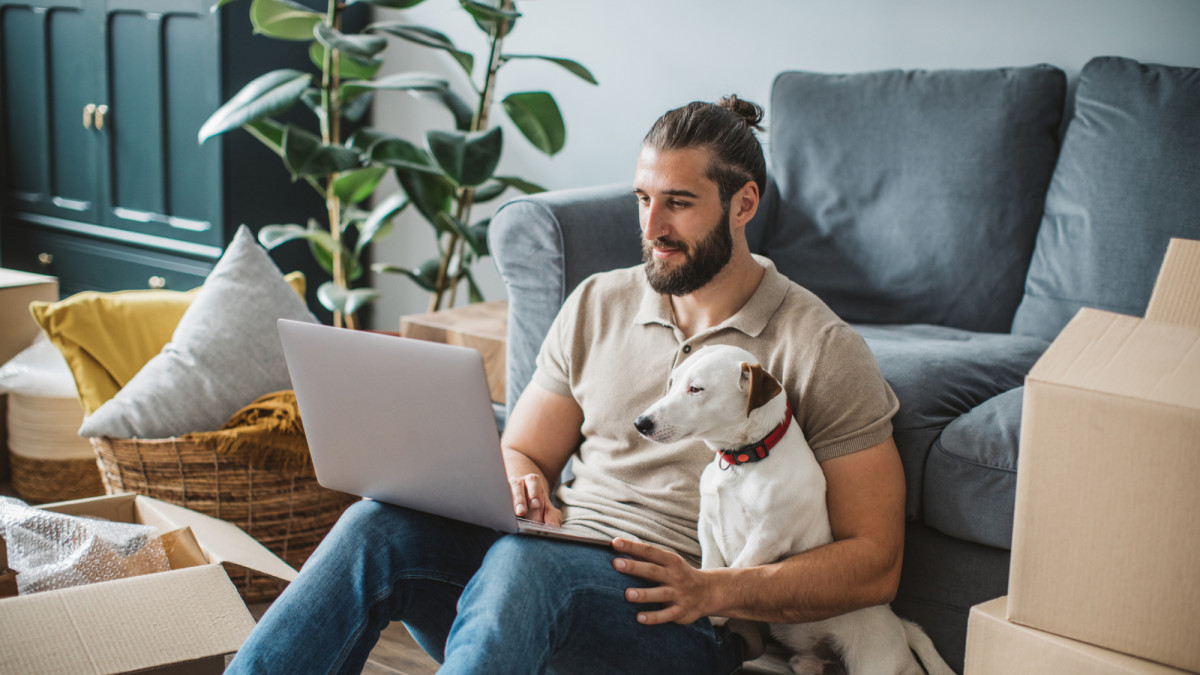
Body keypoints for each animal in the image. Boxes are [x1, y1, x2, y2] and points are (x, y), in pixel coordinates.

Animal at [633, 343, 950, 672]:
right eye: (672, 382)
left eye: (696, 389)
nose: (640, 423)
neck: (745, 460)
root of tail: (900, 627)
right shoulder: (707, 523)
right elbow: (712, 566)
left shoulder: (768, 538)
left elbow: (732, 571)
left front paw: (710, 611)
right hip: (805, 663)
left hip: (875, 663)